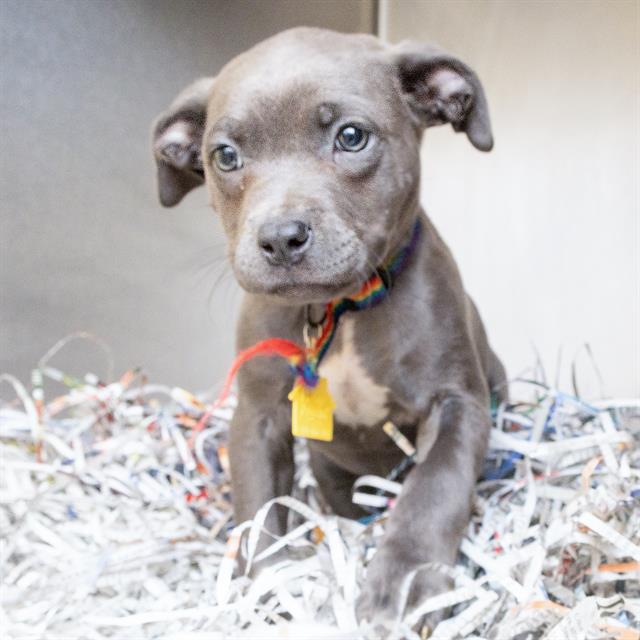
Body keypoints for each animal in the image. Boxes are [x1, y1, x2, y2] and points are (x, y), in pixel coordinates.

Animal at [150, 26, 504, 632]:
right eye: (225, 155)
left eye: (352, 136)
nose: (280, 237)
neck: (338, 311)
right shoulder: (259, 416)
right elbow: (259, 511)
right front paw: (268, 588)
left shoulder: (458, 403)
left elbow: (434, 489)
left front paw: (406, 583)